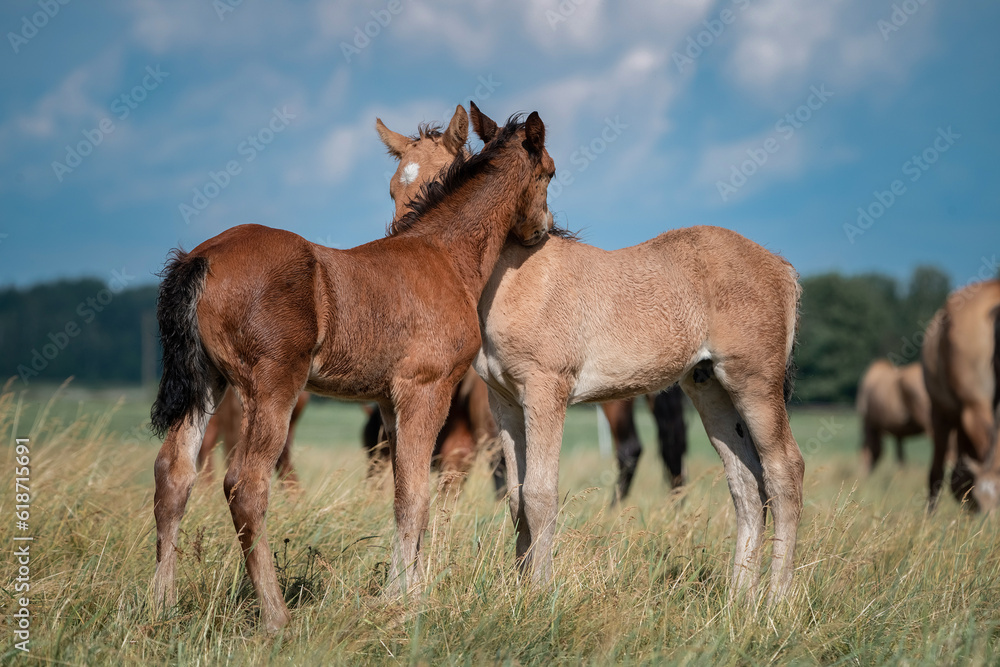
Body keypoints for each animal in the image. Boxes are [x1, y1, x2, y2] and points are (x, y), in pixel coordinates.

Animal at [468, 102, 804, 604]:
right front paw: (520, 587)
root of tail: (782, 267)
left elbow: (540, 495)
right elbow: (517, 497)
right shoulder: (504, 402)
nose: (541, 231)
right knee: (746, 482)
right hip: (710, 390)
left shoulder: (546, 393)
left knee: (784, 472)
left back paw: (775, 600)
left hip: (755, 384)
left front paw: (538, 596)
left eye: (551, 171)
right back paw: (737, 600)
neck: (513, 278)